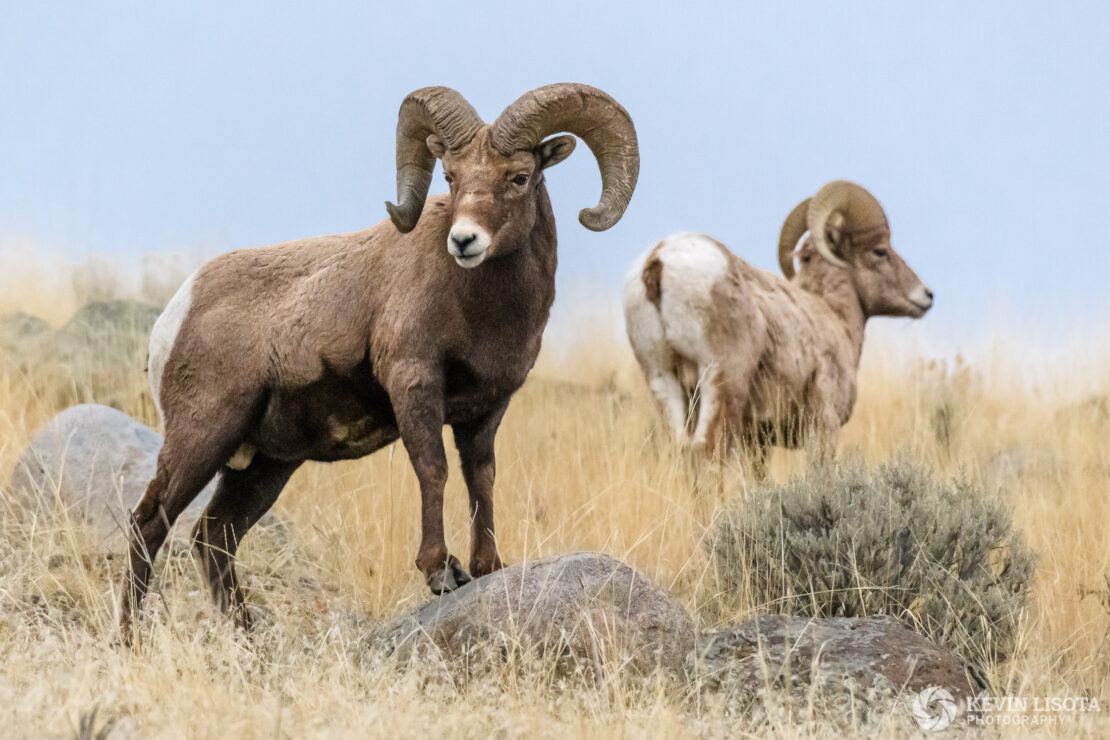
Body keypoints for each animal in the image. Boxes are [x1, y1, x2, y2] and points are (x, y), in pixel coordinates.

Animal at [118, 83, 639, 634]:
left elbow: (481, 480)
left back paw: (249, 638)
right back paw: (130, 637)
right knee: (149, 523)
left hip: (266, 465)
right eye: (451, 177)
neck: (480, 308)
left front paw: (486, 567)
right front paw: (441, 572)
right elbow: (433, 469)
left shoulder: (485, 412)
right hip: (204, 436)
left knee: (215, 537)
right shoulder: (415, 384)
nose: (464, 241)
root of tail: (177, 312)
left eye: (519, 177)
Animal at [626, 179, 927, 468]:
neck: (834, 315)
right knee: (708, 451)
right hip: (719, 380)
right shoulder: (824, 426)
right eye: (880, 251)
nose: (927, 295)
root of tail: (660, 261)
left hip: (662, 379)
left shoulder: (756, 441)